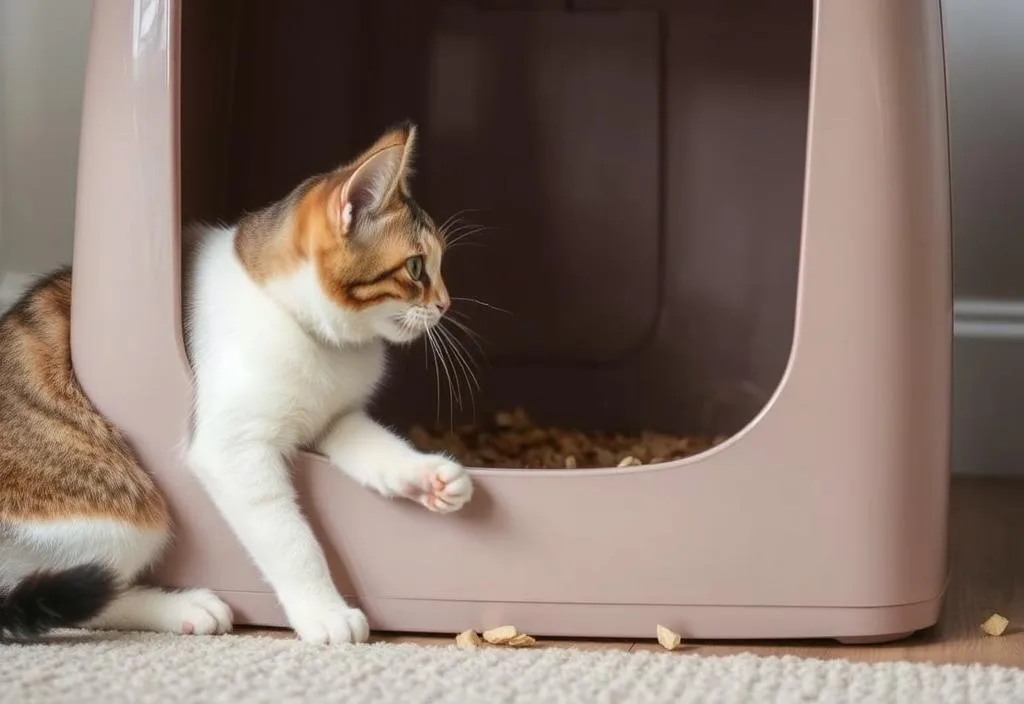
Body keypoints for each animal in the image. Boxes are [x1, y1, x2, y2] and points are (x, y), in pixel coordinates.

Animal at [0, 122, 471, 642]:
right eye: (416, 267)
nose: (446, 303)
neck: (314, 337)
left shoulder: (332, 418)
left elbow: (373, 446)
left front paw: (428, 476)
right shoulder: (234, 450)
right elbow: (291, 540)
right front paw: (324, 612)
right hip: (124, 512)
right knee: (70, 588)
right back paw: (184, 608)